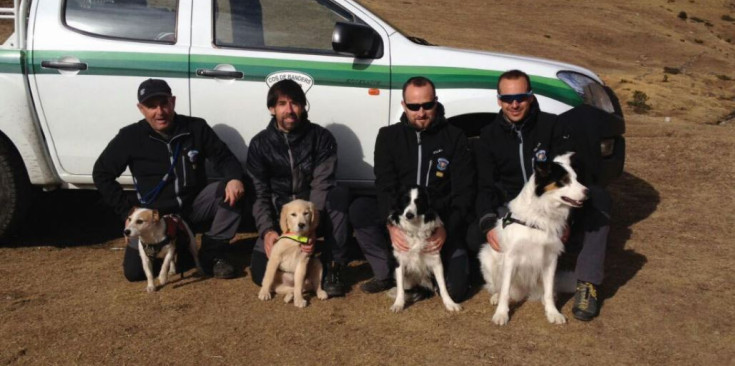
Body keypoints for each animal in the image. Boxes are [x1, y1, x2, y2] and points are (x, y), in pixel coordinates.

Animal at [480, 153, 588, 324]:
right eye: (564, 180)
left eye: (576, 178)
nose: (588, 192)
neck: (540, 215)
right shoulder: (510, 258)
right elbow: (505, 290)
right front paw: (501, 314)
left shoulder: (550, 259)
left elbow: (549, 291)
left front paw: (552, 312)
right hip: (486, 258)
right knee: (498, 287)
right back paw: (496, 297)